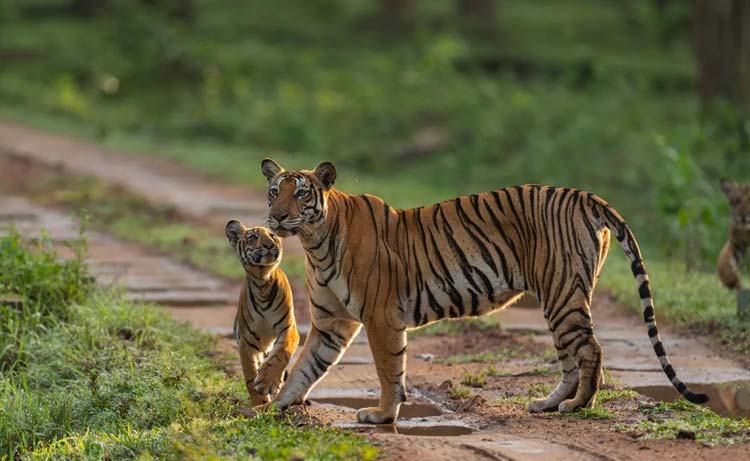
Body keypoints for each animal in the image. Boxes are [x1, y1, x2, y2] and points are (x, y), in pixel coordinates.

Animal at [260, 159, 712, 424]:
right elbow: (305, 368)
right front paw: (272, 404)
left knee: (590, 351)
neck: (315, 242)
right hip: (560, 298)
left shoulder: (381, 318)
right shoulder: (331, 323)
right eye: (274, 191)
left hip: (562, 293)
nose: (277, 216)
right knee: (571, 357)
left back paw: (578, 406)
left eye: (300, 193)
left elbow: (389, 371)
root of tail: (585, 196)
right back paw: (548, 404)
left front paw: (383, 415)